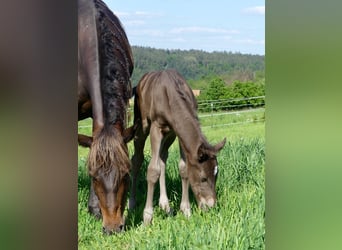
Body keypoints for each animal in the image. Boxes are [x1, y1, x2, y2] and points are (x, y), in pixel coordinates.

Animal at [130, 69, 226, 224]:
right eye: (203, 178)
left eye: (216, 175)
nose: (210, 205)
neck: (171, 95)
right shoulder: (156, 127)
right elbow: (153, 170)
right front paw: (147, 217)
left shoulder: (178, 133)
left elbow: (183, 168)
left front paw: (186, 210)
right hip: (142, 125)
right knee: (137, 159)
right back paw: (132, 203)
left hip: (169, 134)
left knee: (162, 157)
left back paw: (165, 205)